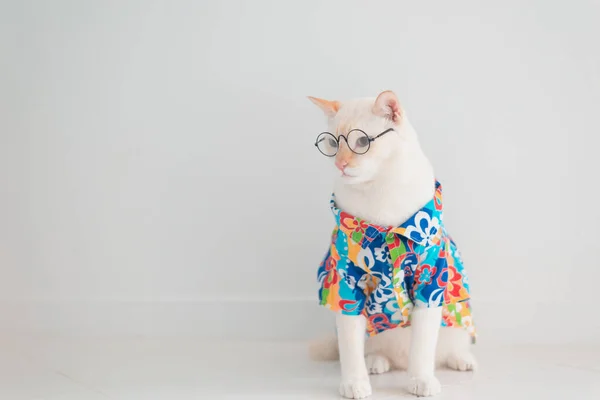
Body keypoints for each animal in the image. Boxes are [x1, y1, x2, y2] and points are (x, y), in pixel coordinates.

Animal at [308, 92, 476, 398]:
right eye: (332, 143)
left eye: (362, 142)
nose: (340, 164)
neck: (378, 191)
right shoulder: (347, 284)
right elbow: (350, 347)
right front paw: (355, 383)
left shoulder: (430, 283)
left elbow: (422, 348)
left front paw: (421, 380)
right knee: (369, 348)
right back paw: (377, 362)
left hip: (458, 316)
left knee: (448, 346)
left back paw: (461, 359)